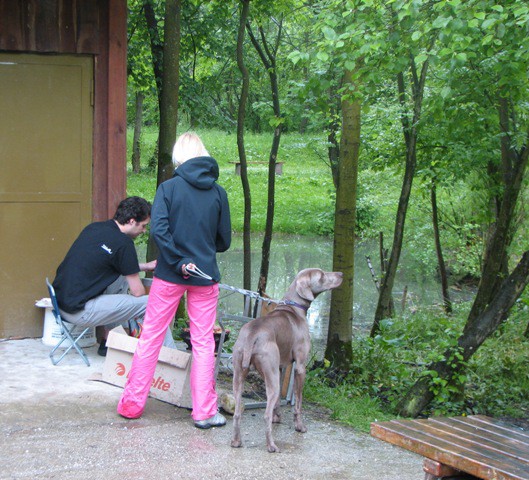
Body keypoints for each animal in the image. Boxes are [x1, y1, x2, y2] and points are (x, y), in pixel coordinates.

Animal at [231, 268, 342, 452]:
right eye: (321, 274)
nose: (341, 274)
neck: (293, 307)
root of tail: (253, 333)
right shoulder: (300, 367)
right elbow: (298, 402)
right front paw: (300, 426)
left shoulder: (280, 367)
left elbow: (278, 402)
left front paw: (278, 417)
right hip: (270, 377)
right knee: (265, 415)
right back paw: (271, 445)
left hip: (241, 374)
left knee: (238, 411)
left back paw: (236, 441)